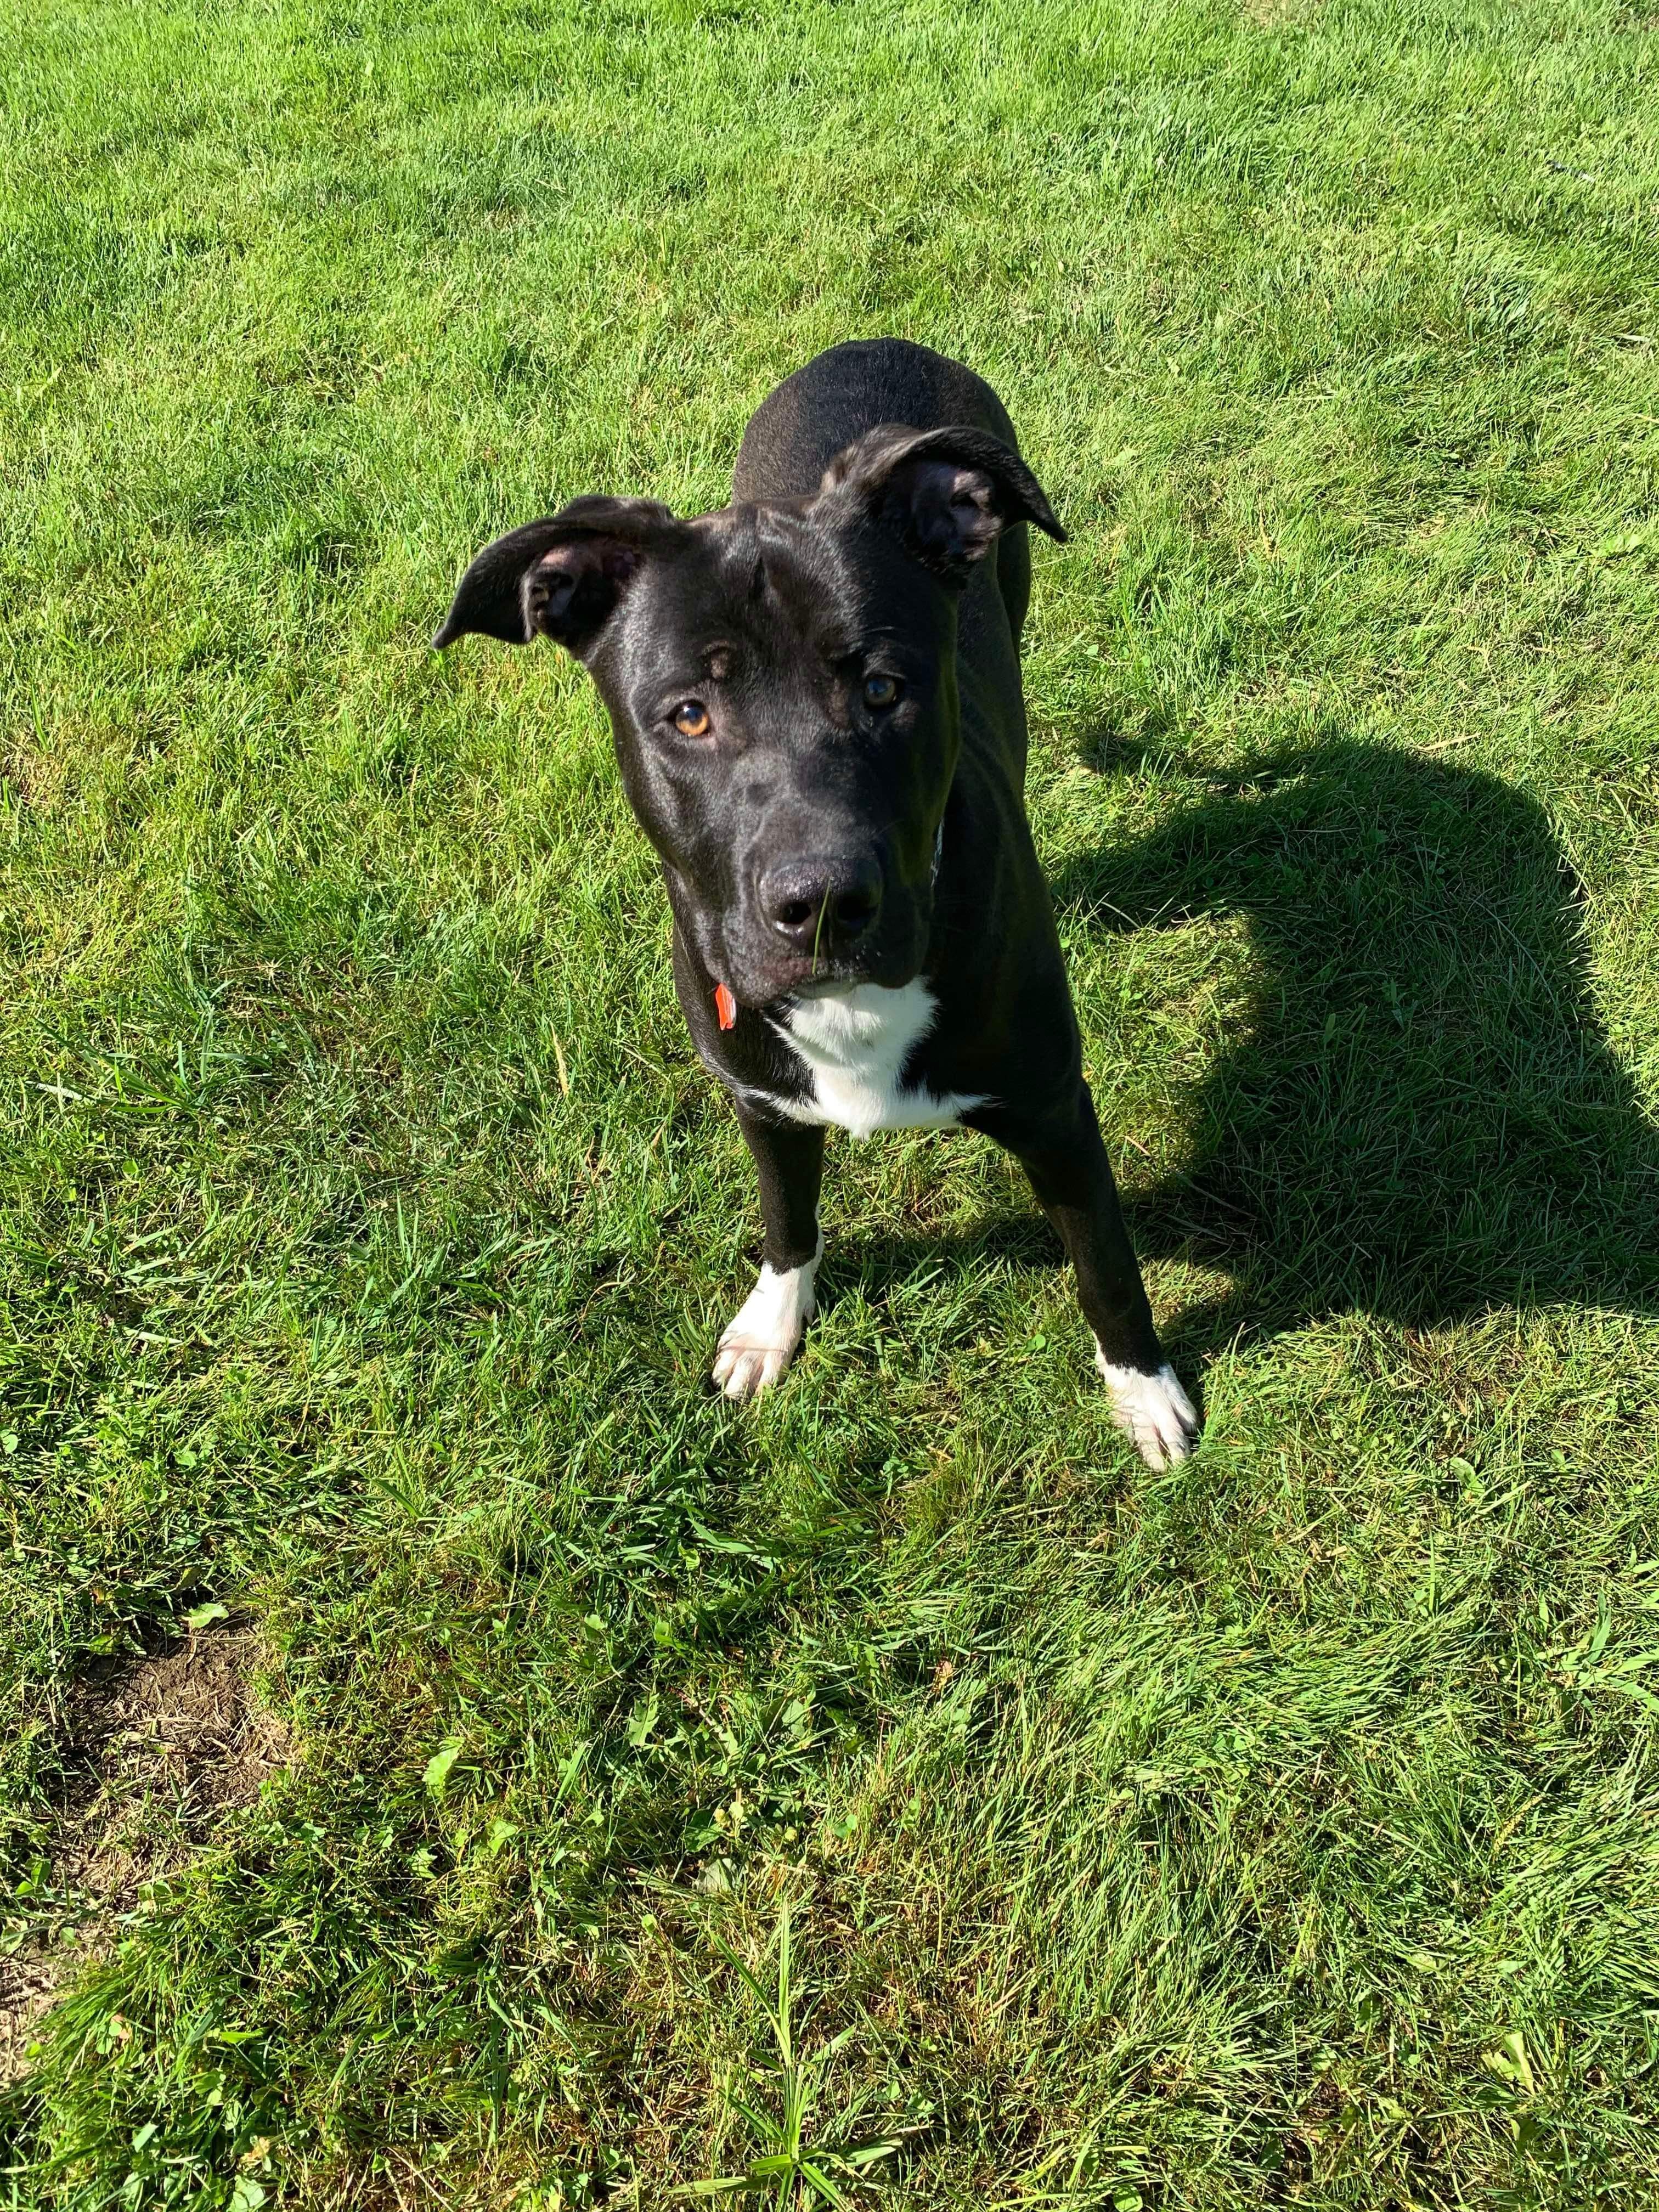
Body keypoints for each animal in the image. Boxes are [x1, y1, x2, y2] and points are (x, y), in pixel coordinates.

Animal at [436, 336, 1203, 1469]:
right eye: (688, 714)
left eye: (883, 689)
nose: (824, 904)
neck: (852, 1006)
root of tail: (874, 342)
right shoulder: (761, 1101)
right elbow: (784, 1218)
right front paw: (771, 1323)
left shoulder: (1054, 1112)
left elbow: (1105, 1264)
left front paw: (1142, 1389)